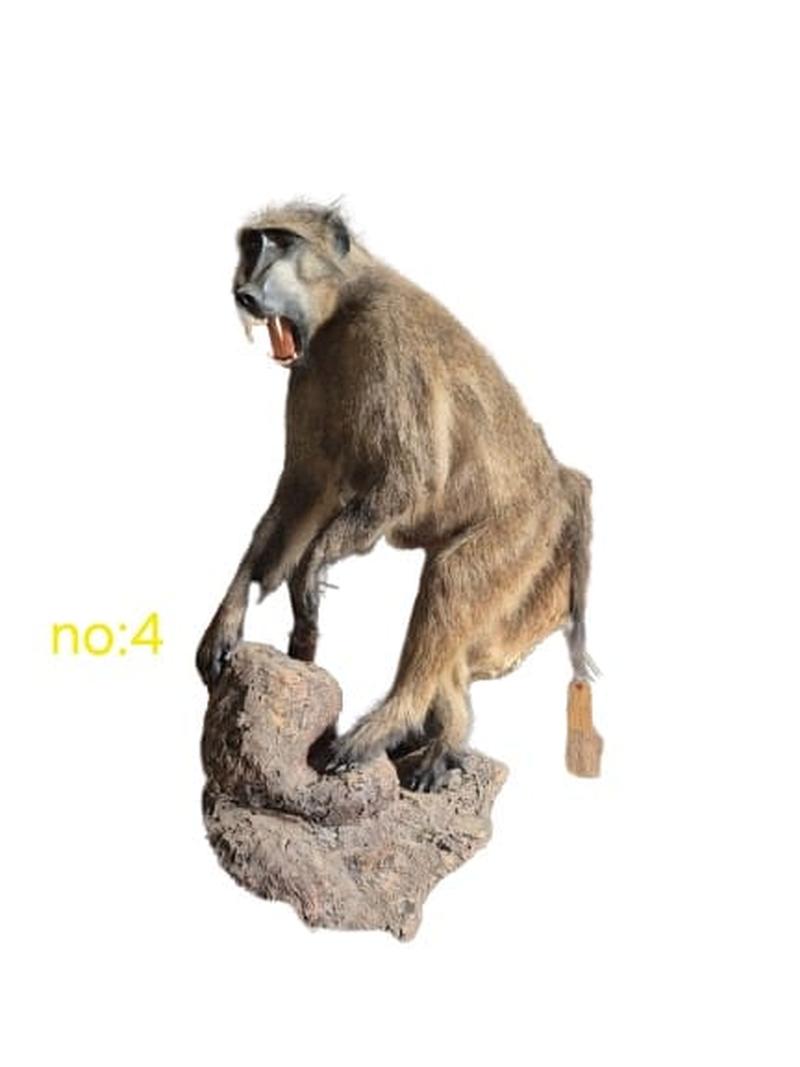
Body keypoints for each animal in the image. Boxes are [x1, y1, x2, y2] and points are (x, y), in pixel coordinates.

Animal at [196, 200, 597, 792]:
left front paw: (310, 570)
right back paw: (444, 740)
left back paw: (387, 727)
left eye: (282, 242)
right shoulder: (309, 373)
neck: (344, 302)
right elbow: (302, 492)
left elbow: (409, 480)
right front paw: (229, 619)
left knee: (452, 580)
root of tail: (560, 482)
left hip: (525, 536)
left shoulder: (387, 341)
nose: (244, 291)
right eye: (252, 244)